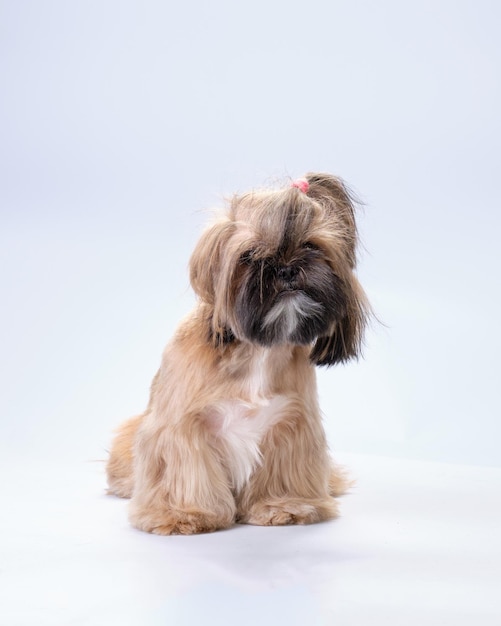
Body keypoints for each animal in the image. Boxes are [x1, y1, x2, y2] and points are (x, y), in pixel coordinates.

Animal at [105, 171, 370, 532]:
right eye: (250, 254)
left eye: (311, 246)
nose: (286, 268)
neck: (256, 350)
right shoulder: (180, 427)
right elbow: (183, 468)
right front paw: (183, 514)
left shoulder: (291, 425)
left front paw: (285, 506)